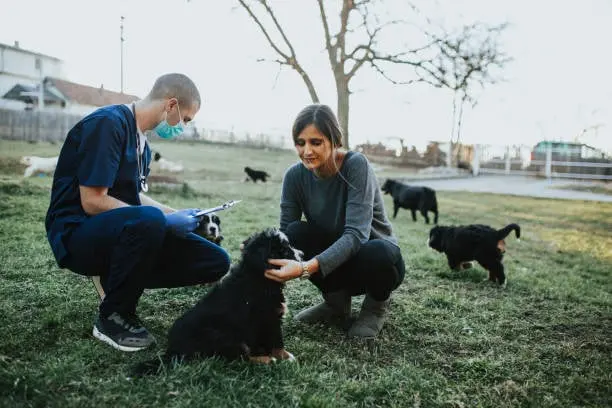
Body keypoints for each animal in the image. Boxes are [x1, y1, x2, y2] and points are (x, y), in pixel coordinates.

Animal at [135, 228, 304, 374]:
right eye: (284, 249)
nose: (302, 254)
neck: (257, 275)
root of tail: (173, 351)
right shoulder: (269, 318)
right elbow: (277, 341)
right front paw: (286, 357)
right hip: (224, 337)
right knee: (239, 358)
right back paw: (265, 360)